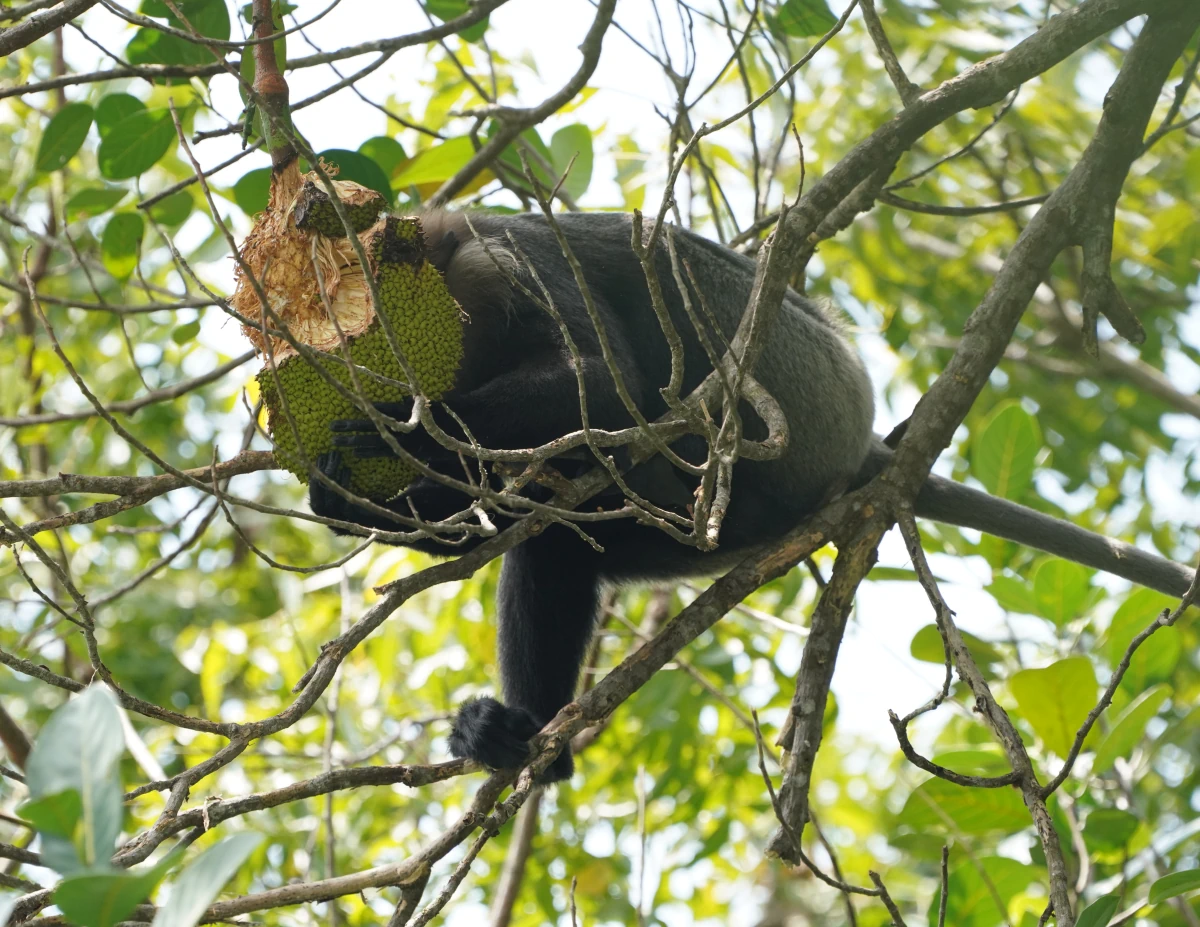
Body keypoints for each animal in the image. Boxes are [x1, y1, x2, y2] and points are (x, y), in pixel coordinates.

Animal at [307, 211, 1190, 782]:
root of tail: (859, 435)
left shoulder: (499, 261)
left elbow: (602, 379)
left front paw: (381, 436)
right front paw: (354, 491)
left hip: (806, 383)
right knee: (555, 544)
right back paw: (525, 742)